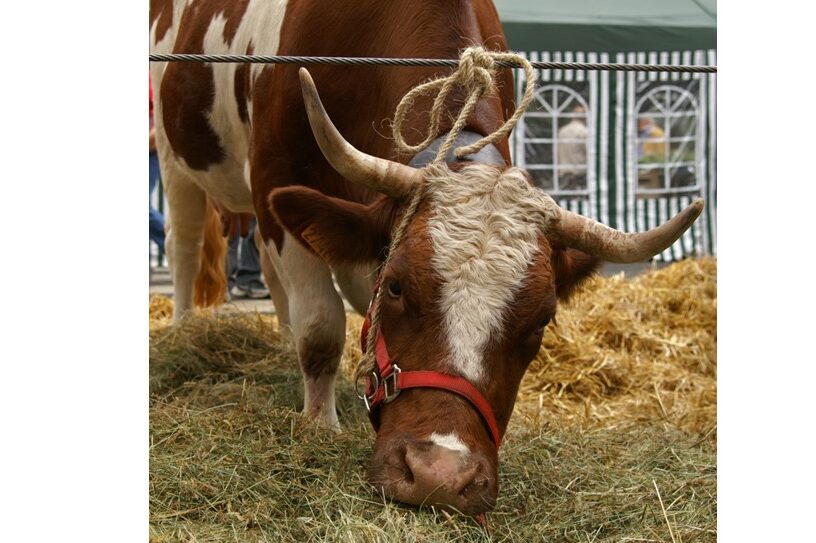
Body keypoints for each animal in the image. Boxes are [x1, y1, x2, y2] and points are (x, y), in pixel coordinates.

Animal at [150, 0, 704, 516]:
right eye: (397, 286)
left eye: (543, 320)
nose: (439, 475)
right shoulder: (274, 178)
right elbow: (322, 328)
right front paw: (320, 425)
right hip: (174, 155)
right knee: (185, 243)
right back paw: (183, 327)